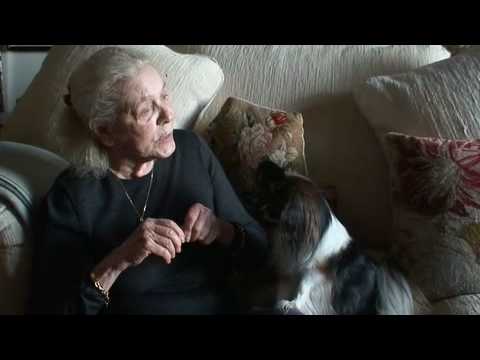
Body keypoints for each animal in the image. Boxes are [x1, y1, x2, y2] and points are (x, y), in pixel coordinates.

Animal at [251, 160, 416, 316]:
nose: (257, 208)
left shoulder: (314, 271)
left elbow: (303, 288)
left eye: (273, 205)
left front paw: (291, 304)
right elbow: (286, 286)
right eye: (264, 197)